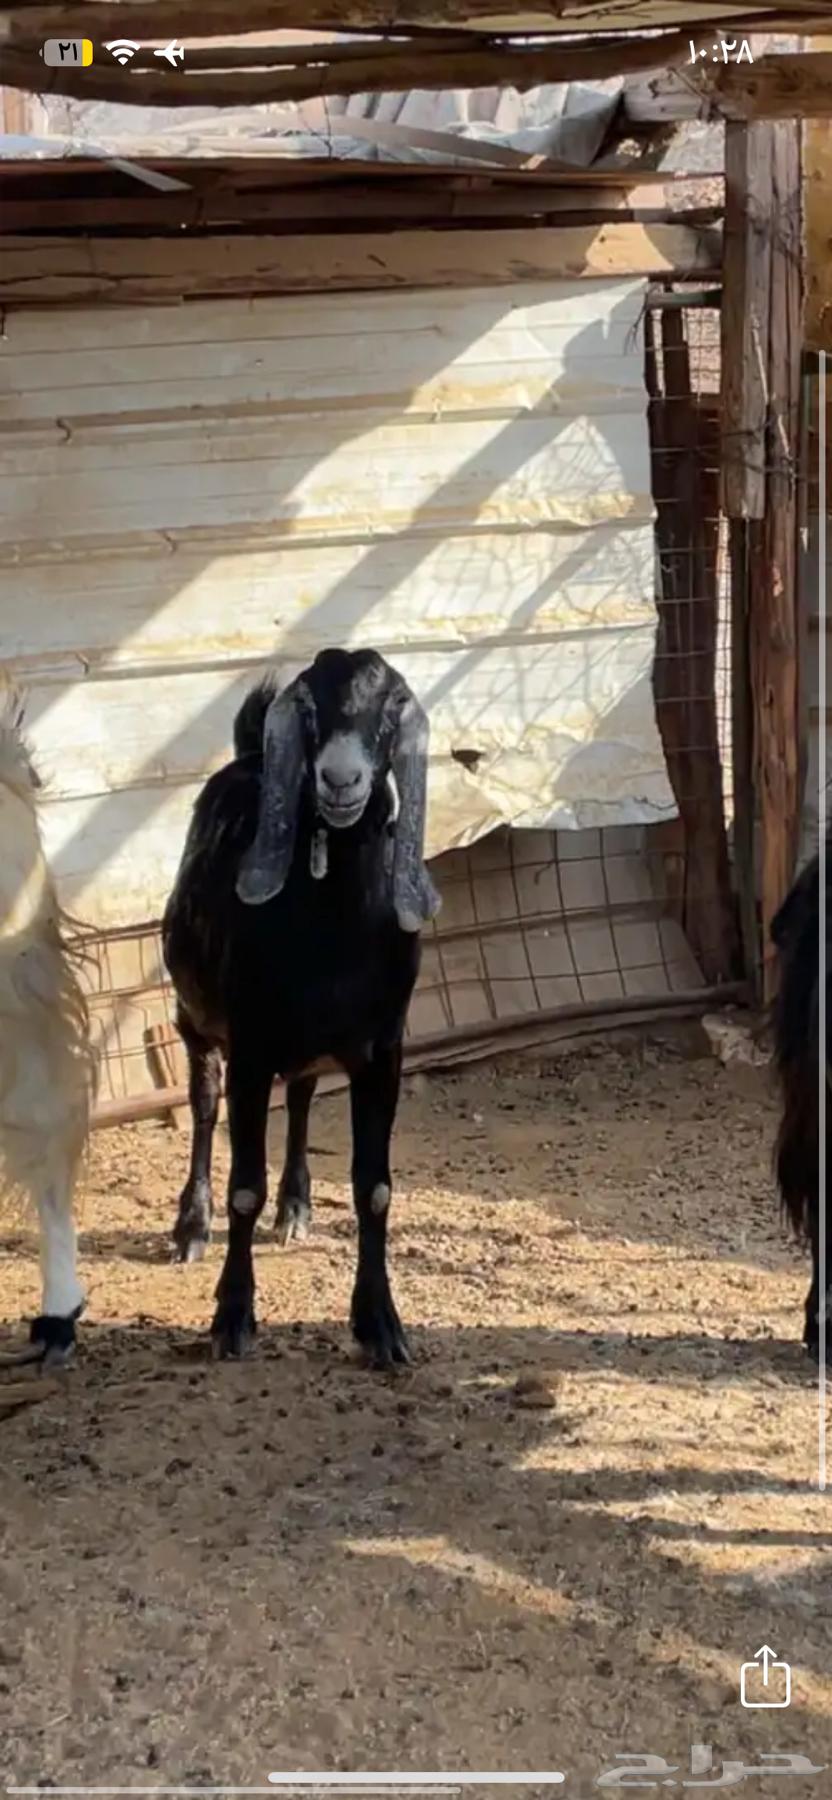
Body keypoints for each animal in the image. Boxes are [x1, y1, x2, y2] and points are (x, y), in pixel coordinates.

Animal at [163, 647, 440, 1364]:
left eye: (391, 706)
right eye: (310, 707)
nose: (340, 779)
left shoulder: (383, 1051)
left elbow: (375, 1188)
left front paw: (381, 1326)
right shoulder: (253, 1045)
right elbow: (243, 1187)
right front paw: (232, 1317)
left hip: (311, 1051)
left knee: (304, 1100)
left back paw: (296, 1207)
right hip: (195, 1018)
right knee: (204, 1105)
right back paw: (190, 1226)